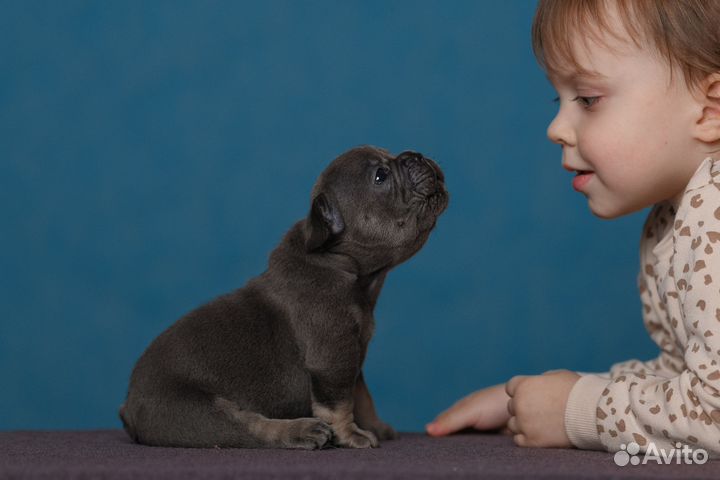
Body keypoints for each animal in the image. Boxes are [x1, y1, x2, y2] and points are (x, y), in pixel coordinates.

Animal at [119, 146, 448, 450]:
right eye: (380, 176)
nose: (416, 155)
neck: (340, 266)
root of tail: (129, 406)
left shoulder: (353, 359)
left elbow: (361, 396)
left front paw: (375, 426)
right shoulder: (333, 357)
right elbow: (338, 405)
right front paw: (351, 435)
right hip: (197, 414)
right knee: (251, 429)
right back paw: (302, 430)